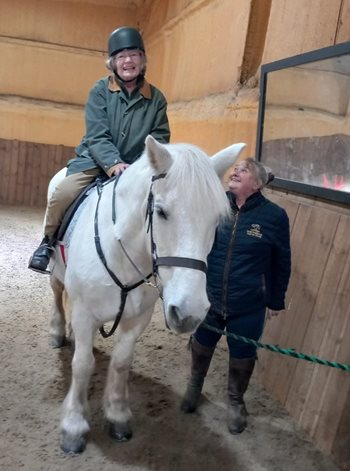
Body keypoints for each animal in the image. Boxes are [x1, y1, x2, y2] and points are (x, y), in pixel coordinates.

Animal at [48, 136, 246, 454]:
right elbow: (82, 365)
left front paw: (117, 416)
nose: (190, 312)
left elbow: (121, 362)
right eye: (161, 212)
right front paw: (73, 426)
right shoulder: (85, 313)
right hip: (56, 270)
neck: (122, 251)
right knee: (57, 294)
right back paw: (57, 332)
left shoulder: (137, 318)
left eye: (216, 221)